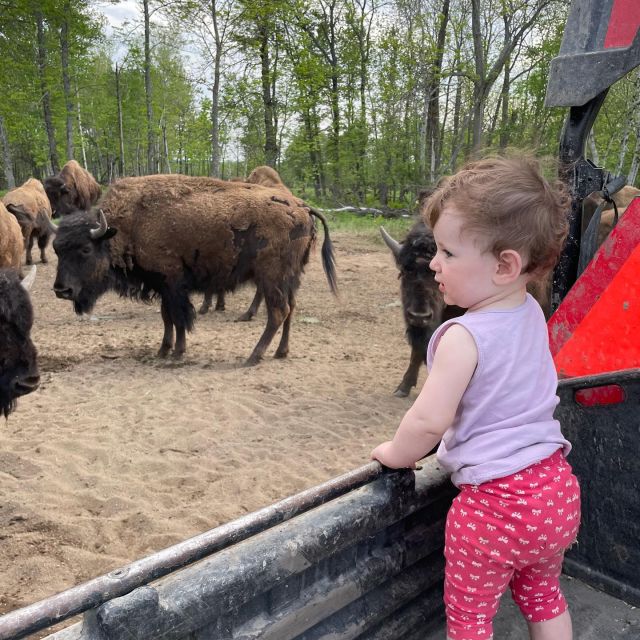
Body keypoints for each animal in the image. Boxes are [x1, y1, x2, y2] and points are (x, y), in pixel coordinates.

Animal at [53, 174, 340, 364]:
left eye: (85, 249)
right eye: (56, 249)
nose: (61, 290)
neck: (129, 223)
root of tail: (302, 207)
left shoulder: (173, 284)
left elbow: (179, 317)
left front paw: (177, 352)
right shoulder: (163, 286)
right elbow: (166, 317)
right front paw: (163, 350)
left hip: (272, 278)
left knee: (278, 312)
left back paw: (253, 356)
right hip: (290, 278)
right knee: (290, 310)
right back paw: (281, 352)